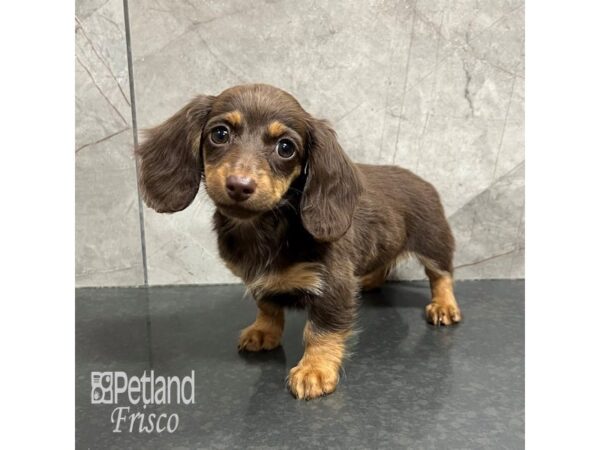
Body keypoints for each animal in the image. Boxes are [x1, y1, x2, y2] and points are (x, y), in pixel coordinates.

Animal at [138, 84, 462, 400]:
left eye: (285, 147)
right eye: (220, 134)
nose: (239, 186)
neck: (265, 228)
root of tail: (420, 180)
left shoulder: (333, 285)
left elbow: (320, 331)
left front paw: (314, 370)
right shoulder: (260, 281)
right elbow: (268, 307)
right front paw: (264, 332)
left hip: (434, 242)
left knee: (442, 275)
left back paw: (443, 306)